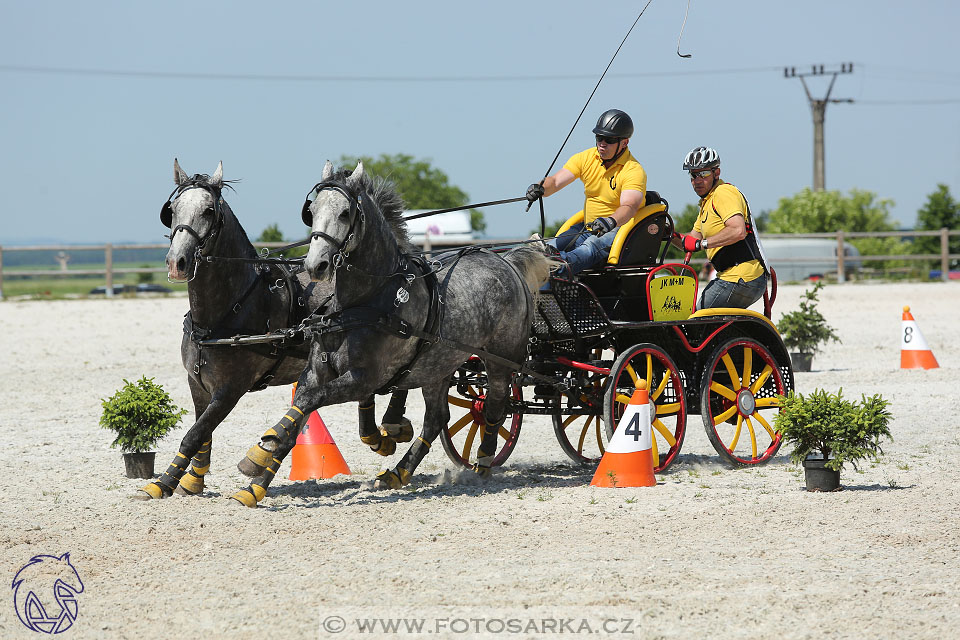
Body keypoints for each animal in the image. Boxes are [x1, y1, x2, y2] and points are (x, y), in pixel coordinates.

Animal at [138, 160, 408, 500]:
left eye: (209, 211)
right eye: (171, 210)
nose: (178, 262)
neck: (228, 310)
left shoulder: (230, 390)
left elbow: (195, 433)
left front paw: (162, 483)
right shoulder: (197, 383)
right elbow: (203, 432)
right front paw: (193, 480)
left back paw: (394, 425)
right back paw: (379, 435)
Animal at [232, 161, 556, 504]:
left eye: (345, 213)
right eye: (312, 210)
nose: (315, 265)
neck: (365, 301)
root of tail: (507, 261)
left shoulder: (364, 379)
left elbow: (311, 401)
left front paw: (261, 452)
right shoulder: (316, 372)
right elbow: (302, 406)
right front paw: (256, 481)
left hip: (500, 359)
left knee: (494, 406)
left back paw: (481, 464)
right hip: (438, 365)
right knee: (436, 419)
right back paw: (398, 473)